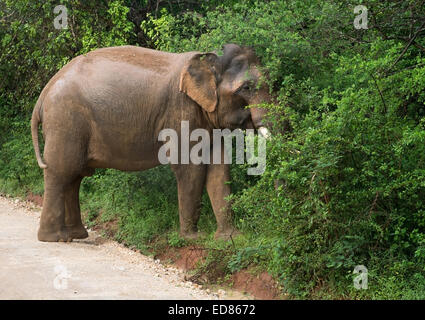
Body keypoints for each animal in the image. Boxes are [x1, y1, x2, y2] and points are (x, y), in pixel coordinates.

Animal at [32, 43, 272, 242]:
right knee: (61, 172)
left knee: (74, 177)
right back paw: (56, 239)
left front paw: (230, 238)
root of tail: (43, 94)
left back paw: (77, 235)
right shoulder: (181, 111)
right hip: (66, 121)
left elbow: (219, 170)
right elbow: (190, 168)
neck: (207, 61)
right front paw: (192, 238)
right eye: (247, 88)